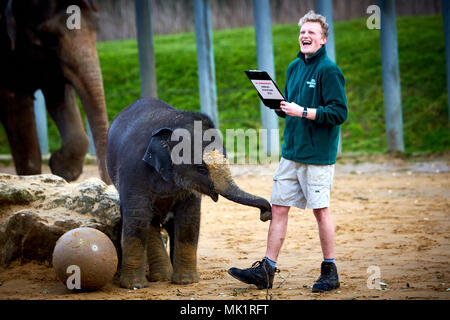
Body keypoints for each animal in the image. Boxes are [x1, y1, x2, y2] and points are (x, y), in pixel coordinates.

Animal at [0, 0, 111, 184]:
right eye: (49, 39)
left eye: (96, 27)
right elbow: (17, 103)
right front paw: (32, 178)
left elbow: (58, 92)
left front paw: (62, 170)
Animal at [107, 96, 272, 288]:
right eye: (201, 168)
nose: (266, 214)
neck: (174, 121)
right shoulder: (133, 171)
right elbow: (137, 217)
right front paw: (134, 286)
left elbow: (189, 219)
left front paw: (186, 282)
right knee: (148, 220)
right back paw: (161, 277)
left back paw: (165, 276)